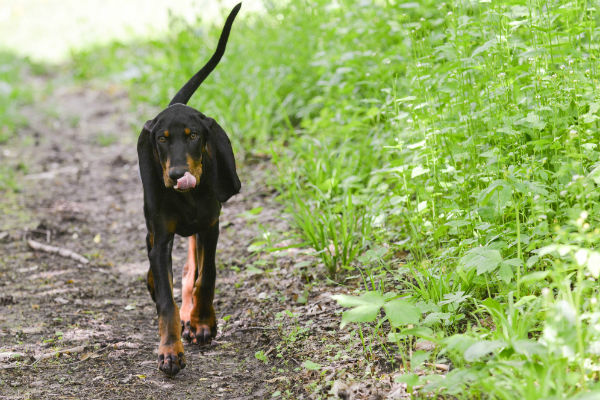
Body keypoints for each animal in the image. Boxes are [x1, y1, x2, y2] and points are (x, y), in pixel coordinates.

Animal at [137, 3, 243, 376]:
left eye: (194, 135)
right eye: (161, 139)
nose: (177, 174)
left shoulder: (211, 224)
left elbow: (206, 275)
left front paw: (201, 323)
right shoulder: (162, 237)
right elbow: (166, 301)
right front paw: (170, 350)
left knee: (192, 267)